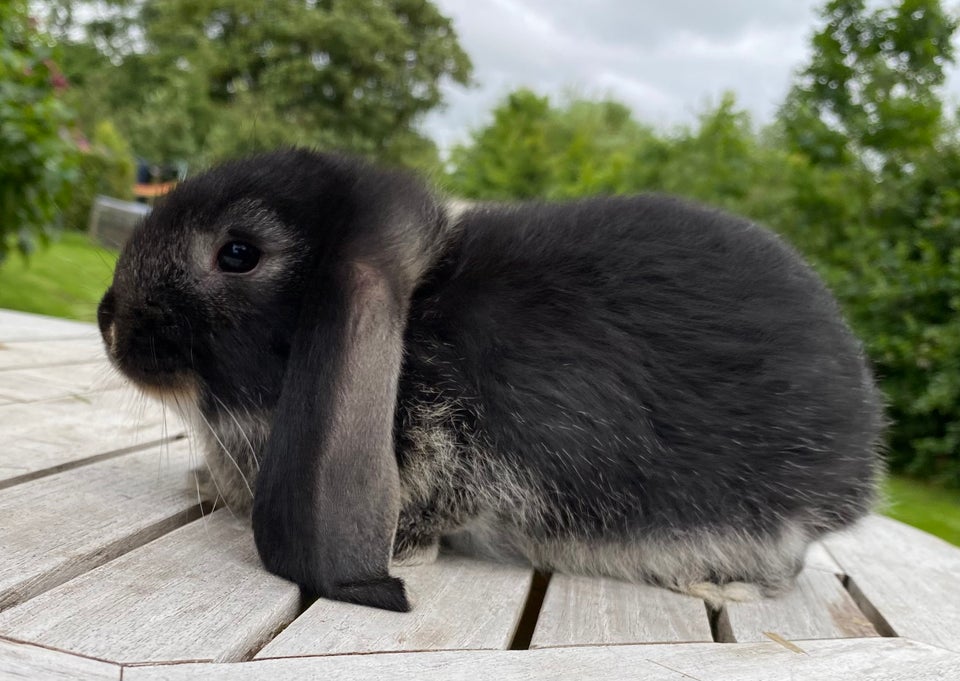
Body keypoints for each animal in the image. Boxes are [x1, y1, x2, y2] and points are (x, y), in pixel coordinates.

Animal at [99, 147, 884, 612]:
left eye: (238, 253)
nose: (109, 320)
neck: (418, 321)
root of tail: (858, 467)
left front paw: (406, 547)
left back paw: (722, 584)